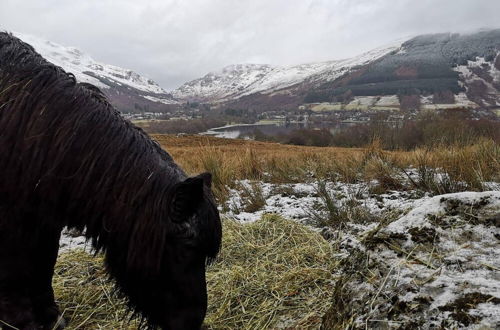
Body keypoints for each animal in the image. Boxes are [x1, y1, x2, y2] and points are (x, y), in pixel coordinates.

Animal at [0, 31, 223, 330]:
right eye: (187, 248)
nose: (193, 321)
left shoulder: (41, 219)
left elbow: (42, 264)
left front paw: (51, 317)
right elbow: (15, 272)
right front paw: (23, 322)